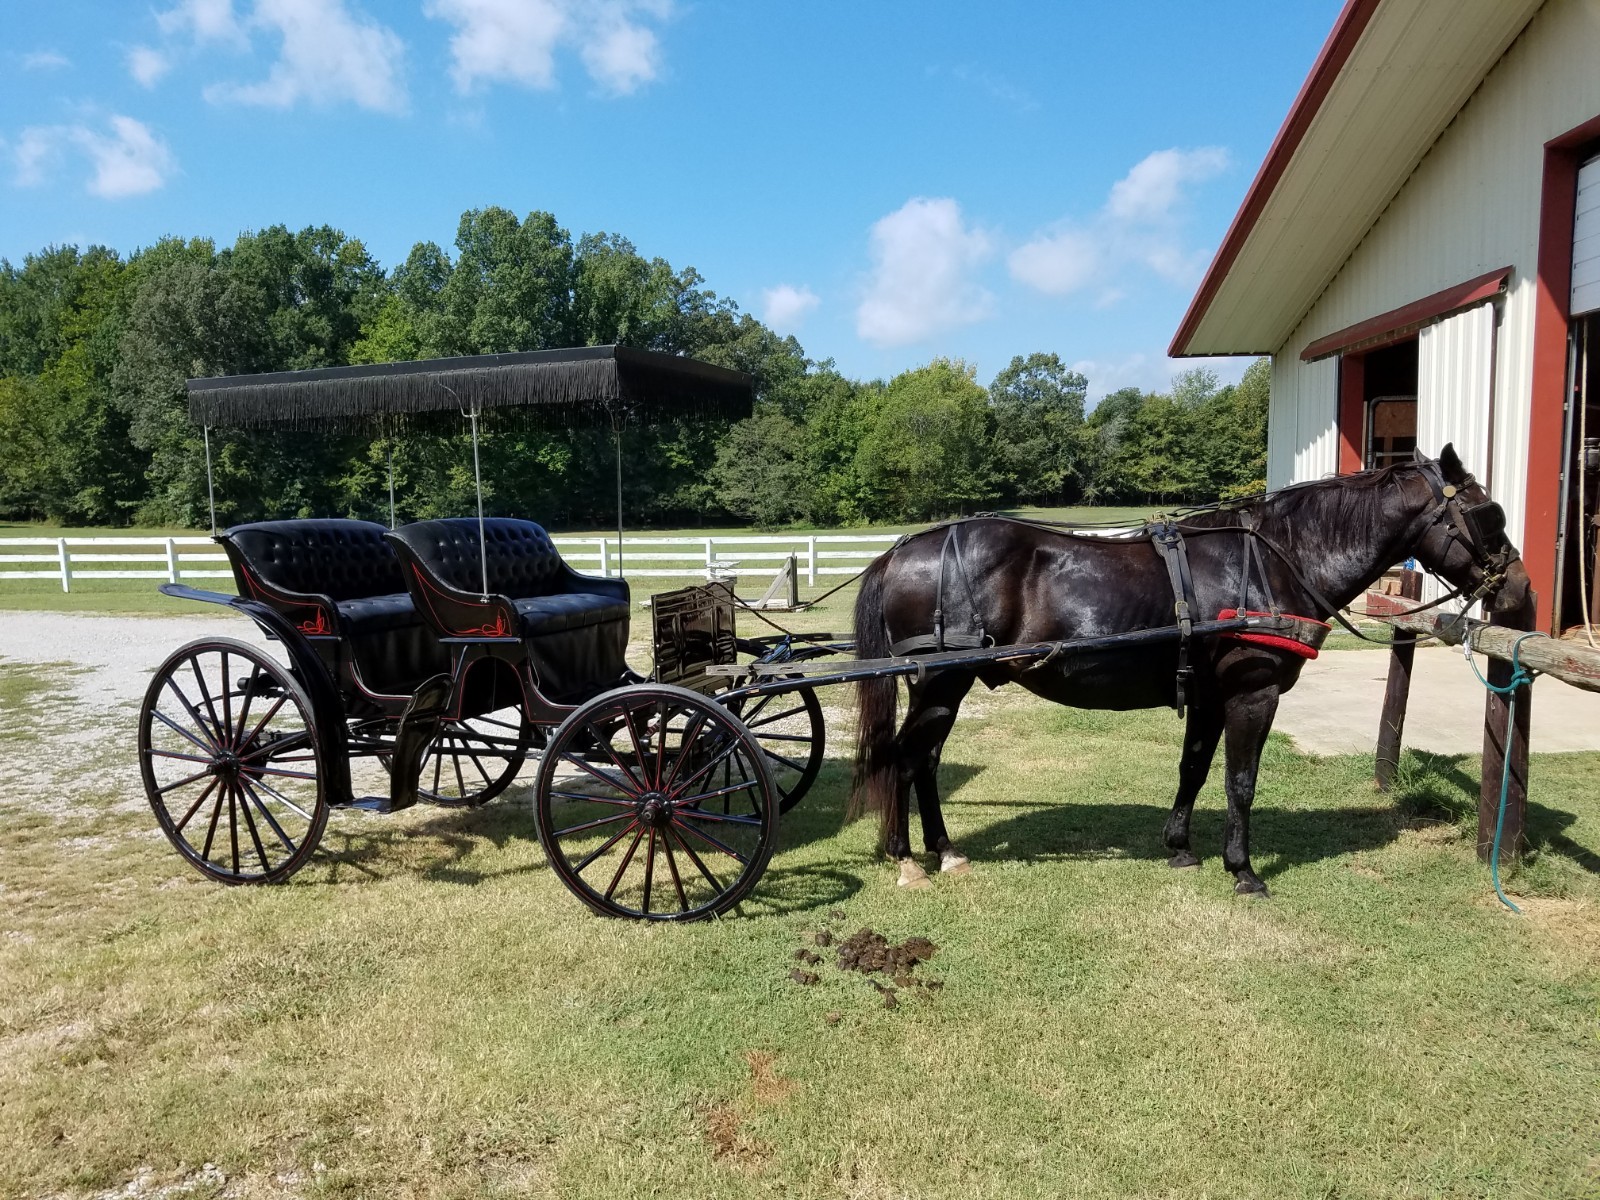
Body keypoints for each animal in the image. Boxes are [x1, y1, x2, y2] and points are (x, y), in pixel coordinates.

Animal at [857, 448, 1529, 896]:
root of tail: (900, 552)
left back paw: (944, 851)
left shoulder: (1209, 696)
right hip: (942, 682)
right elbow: (1240, 782)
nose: (1520, 588)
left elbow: (1194, 769)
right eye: (1489, 513)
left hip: (947, 686)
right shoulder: (1253, 693)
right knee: (904, 758)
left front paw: (1180, 848)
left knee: (924, 761)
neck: (1274, 560)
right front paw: (1244, 870)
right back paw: (907, 858)